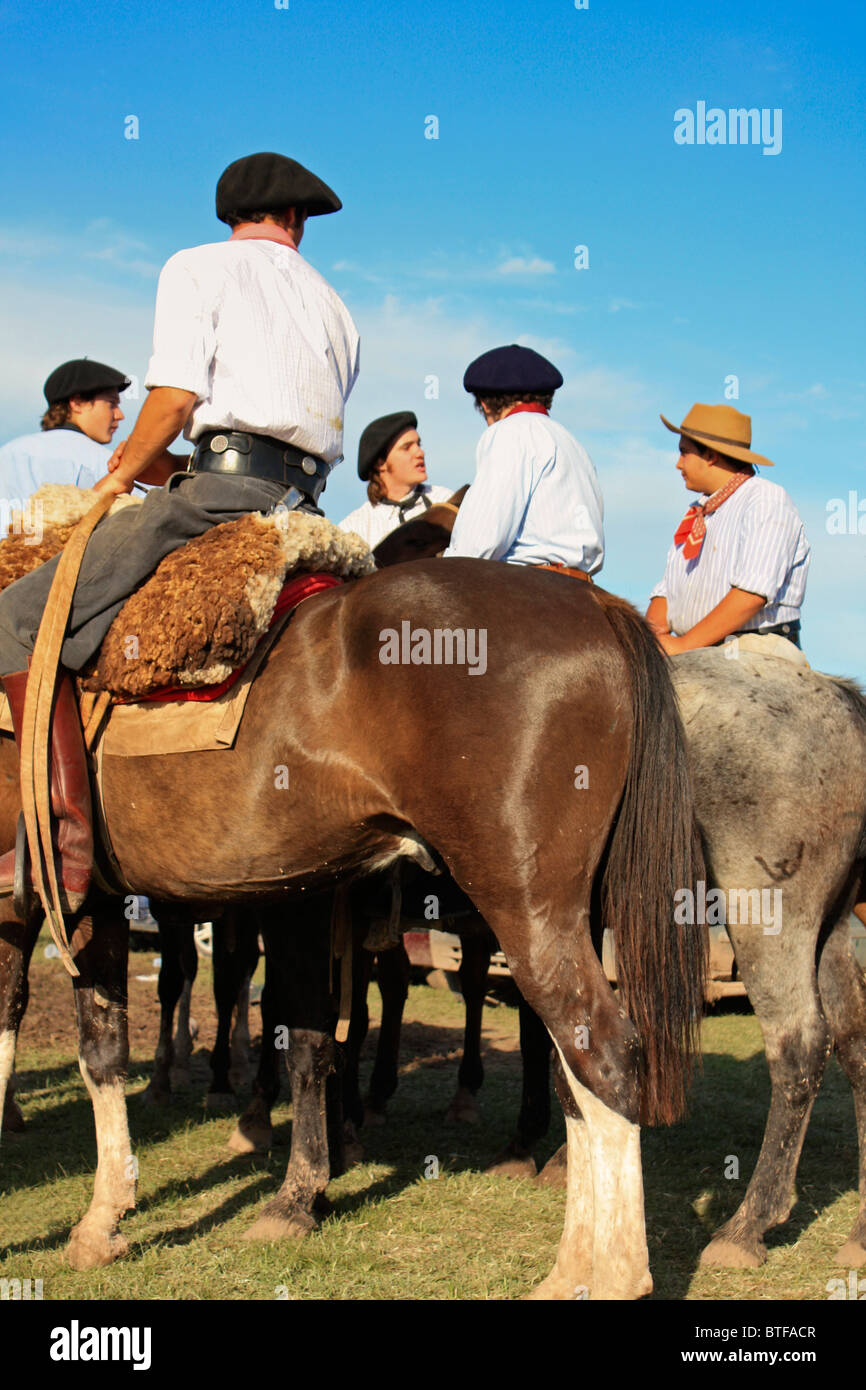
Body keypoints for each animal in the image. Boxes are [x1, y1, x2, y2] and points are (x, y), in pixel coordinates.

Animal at [0, 558, 706, 1295]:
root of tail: (594, 603)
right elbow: (153, 1043)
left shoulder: (55, 903)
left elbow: (74, 1039)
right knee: (574, 1075)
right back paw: (568, 1268)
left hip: (526, 912)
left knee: (606, 1055)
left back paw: (618, 1275)